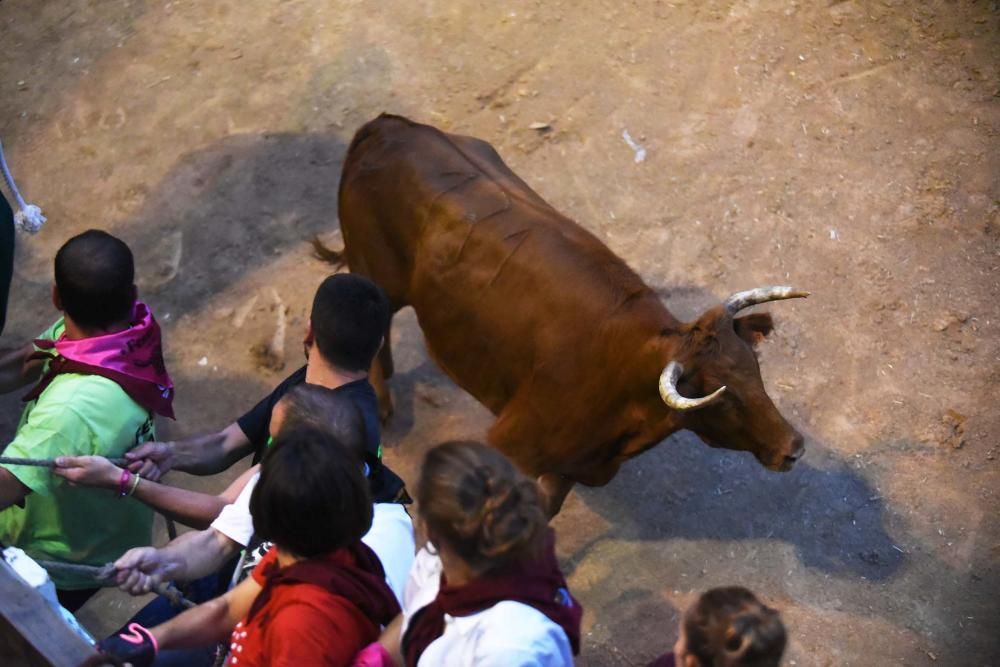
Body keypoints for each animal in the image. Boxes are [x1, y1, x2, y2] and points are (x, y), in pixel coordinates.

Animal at [318, 113, 804, 516]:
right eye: (723, 397)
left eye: (754, 370)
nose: (794, 447)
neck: (628, 377)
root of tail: (387, 126)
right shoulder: (510, 445)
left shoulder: (571, 464)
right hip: (373, 275)